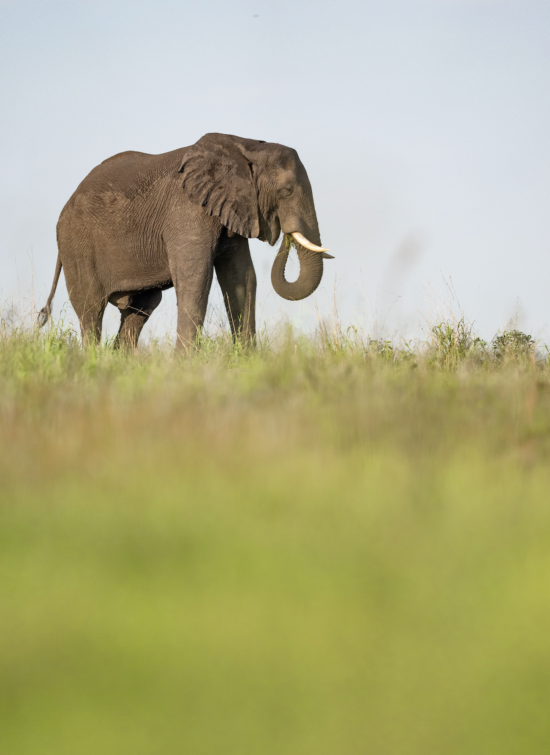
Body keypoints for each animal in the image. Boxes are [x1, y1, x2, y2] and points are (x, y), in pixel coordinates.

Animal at [39, 132, 333, 349]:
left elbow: (242, 279)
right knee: (91, 310)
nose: (284, 234)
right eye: (286, 191)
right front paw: (185, 365)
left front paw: (247, 361)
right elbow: (196, 278)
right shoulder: (188, 211)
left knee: (140, 310)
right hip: (76, 245)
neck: (245, 145)